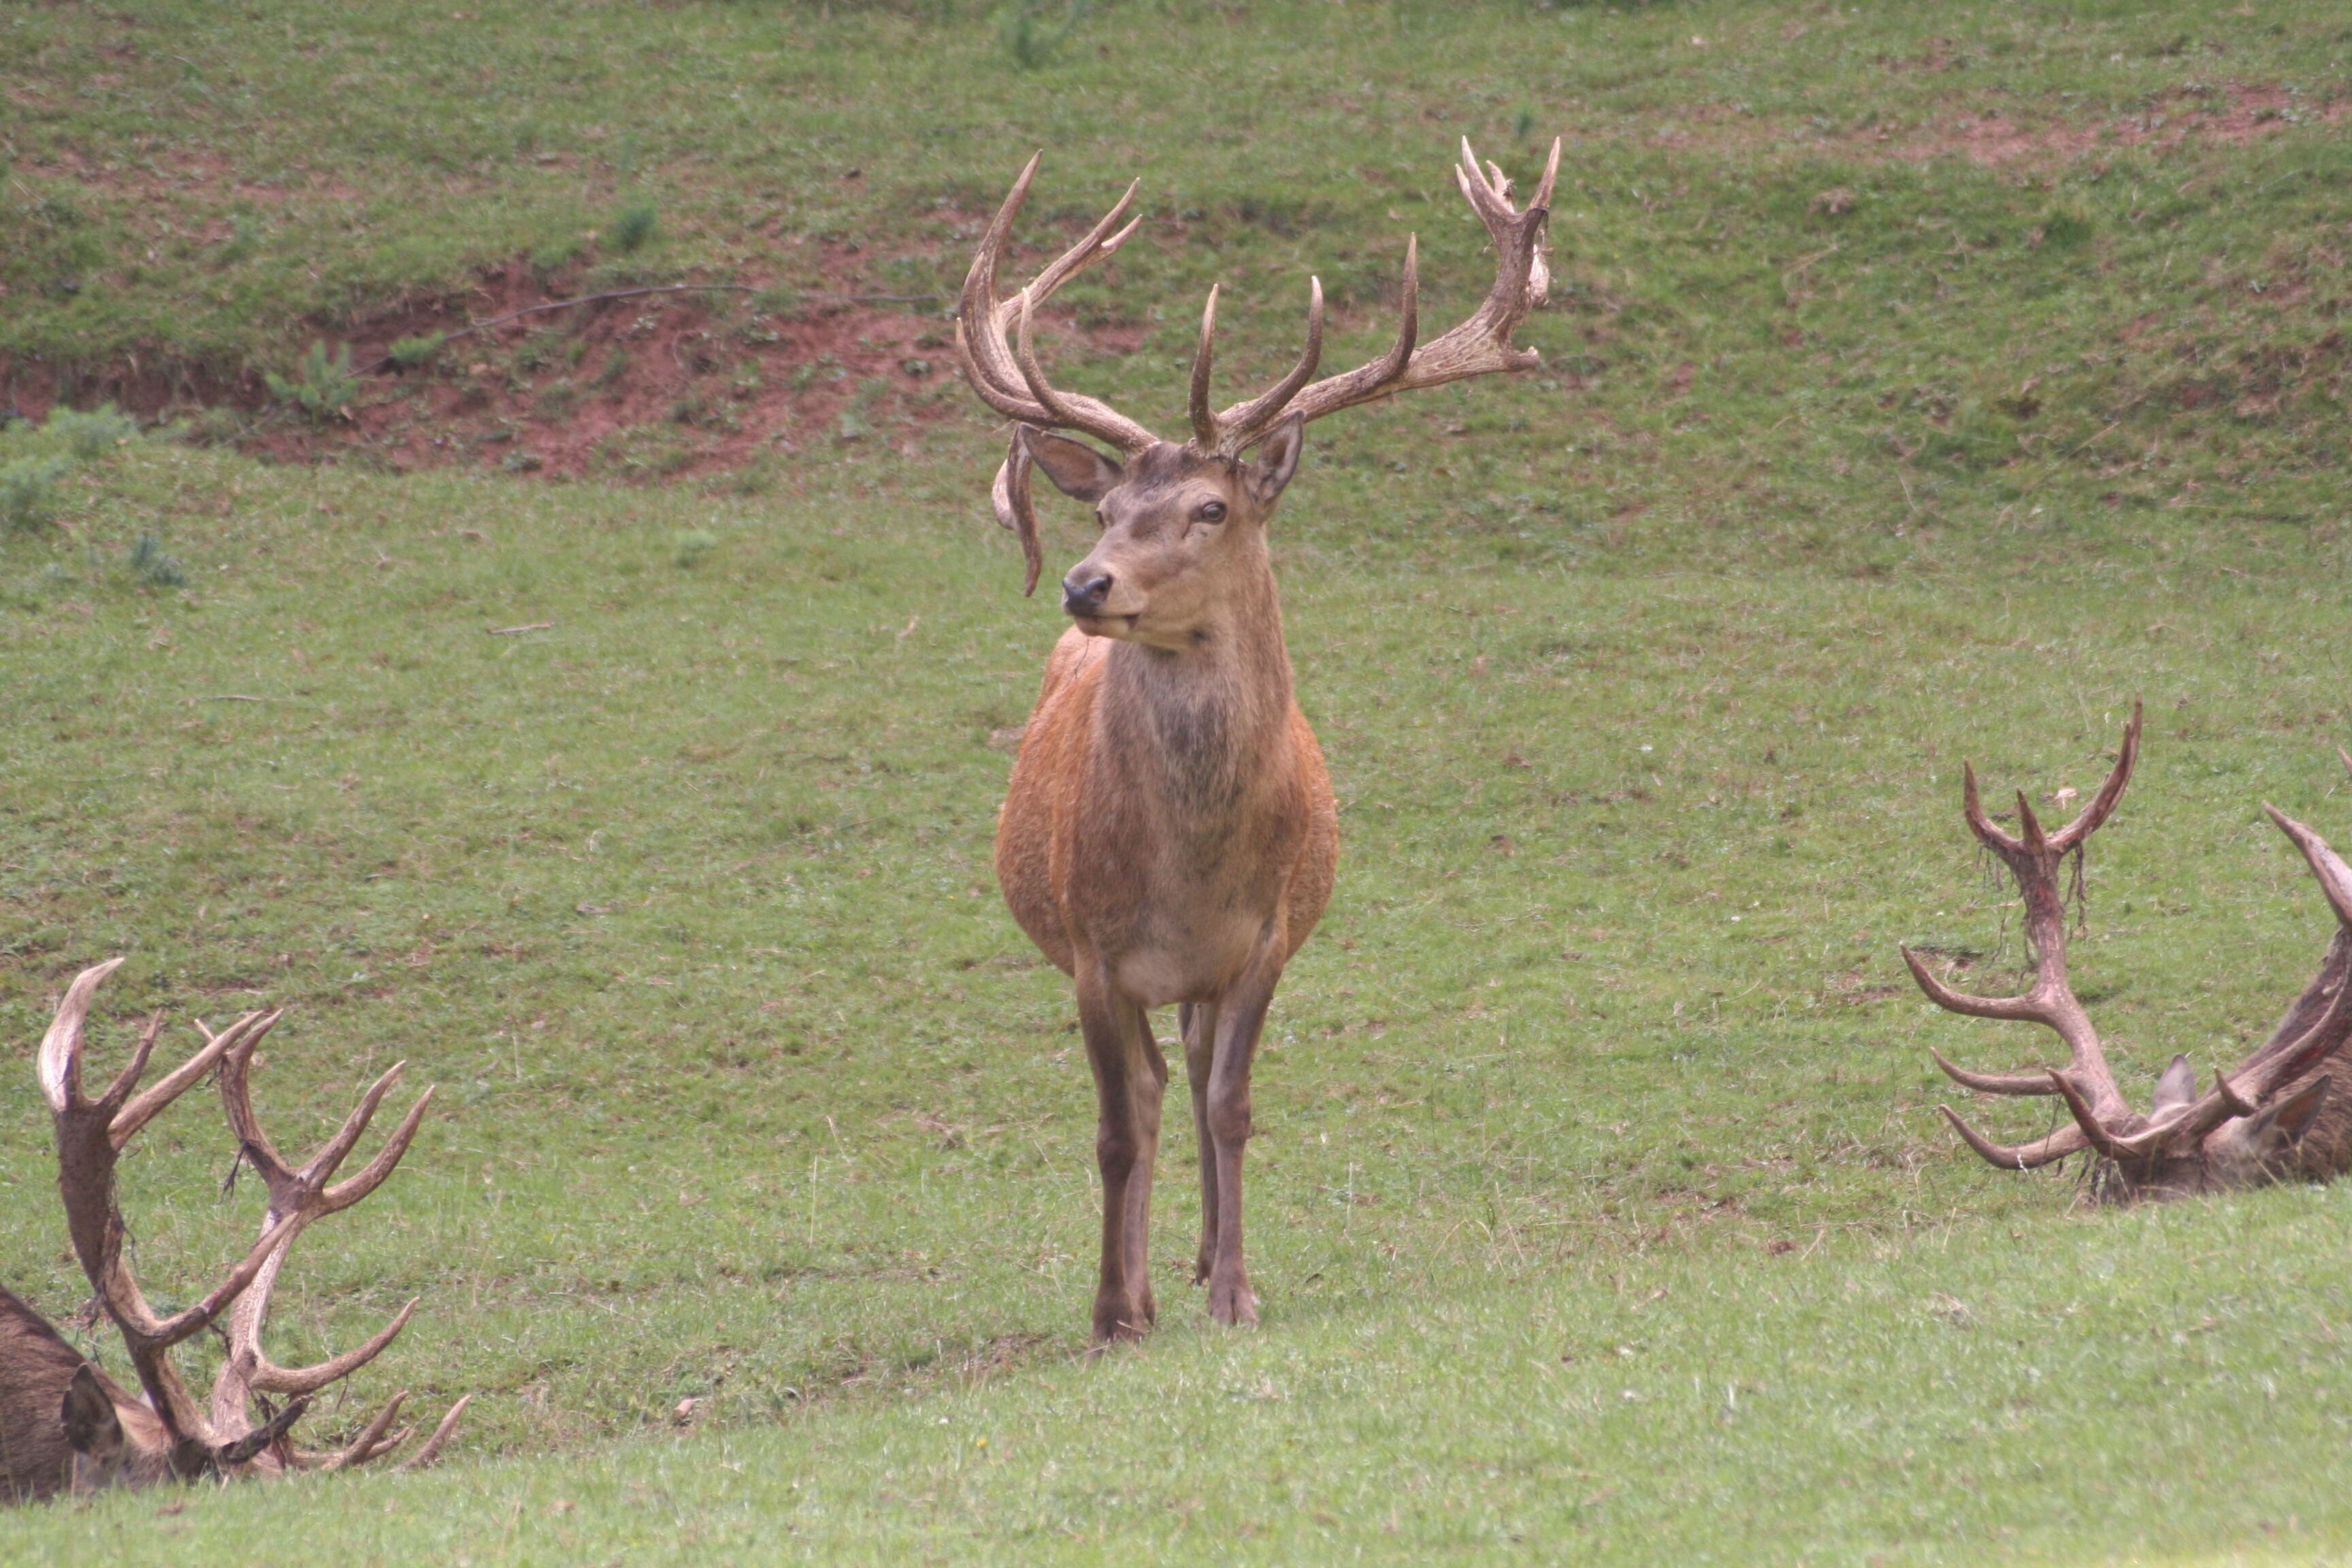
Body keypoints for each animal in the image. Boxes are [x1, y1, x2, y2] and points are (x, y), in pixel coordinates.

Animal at [955, 135, 1561, 1344]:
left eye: (1211, 509)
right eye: (1105, 512)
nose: (1086, 586)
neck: (1191, 872)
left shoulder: (1267, 938)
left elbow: (1232, 1106)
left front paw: (1236, 1289)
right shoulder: (1091, 951)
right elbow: (1115, 1129)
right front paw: (1113, 1311)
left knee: (1191, 1078)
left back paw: (1195, 1260)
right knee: (1153, 1092)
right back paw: (1153, 1279)